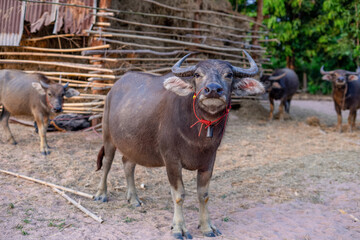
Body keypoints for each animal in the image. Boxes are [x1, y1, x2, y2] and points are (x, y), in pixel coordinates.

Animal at [95, 50, 264, 238]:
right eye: (197, 74)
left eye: (229, 75)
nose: (213, 90)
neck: (199, 135)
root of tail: (113, 89)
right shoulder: (171, 160)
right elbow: (179, 194)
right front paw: (179, 228)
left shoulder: (209, 161)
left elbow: (204, 194)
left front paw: (207, 226)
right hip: (108, 135)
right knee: (107, 163)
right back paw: (101, 194)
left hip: (134, 145)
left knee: (127, 164)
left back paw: (133, 198)